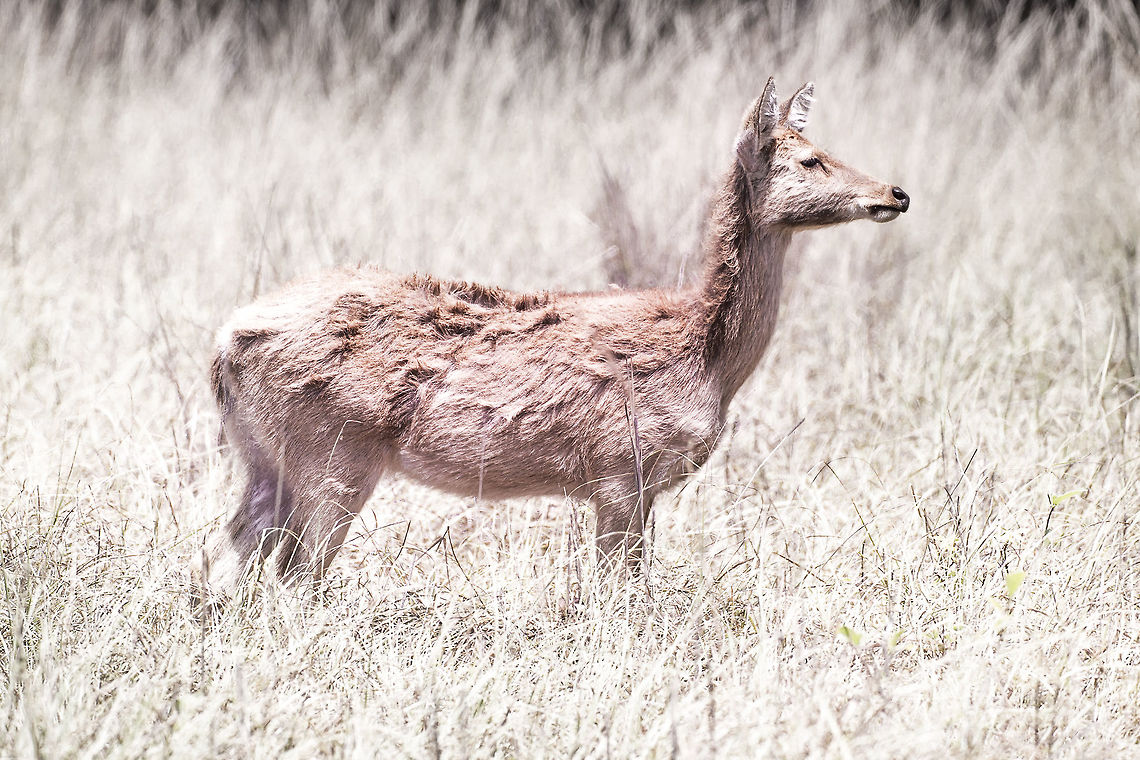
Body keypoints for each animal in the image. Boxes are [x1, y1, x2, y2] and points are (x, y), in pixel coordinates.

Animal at [200, 78, 909, 602]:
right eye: (810, 159)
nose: (896, 192)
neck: (706, 355)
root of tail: (226, 341)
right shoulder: (620, 469)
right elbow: (621, 587)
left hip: (265, 455)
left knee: (236, 545)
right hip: (335, 452)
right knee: (296, 570)